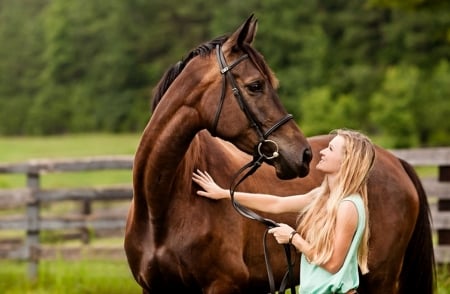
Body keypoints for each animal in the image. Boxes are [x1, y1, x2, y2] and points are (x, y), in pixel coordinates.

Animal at [124, 14, 436, 292]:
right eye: (256, 85)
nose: (304, 154)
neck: (162, 207)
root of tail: (396, 161)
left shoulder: (222, 285)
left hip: (382, 280)